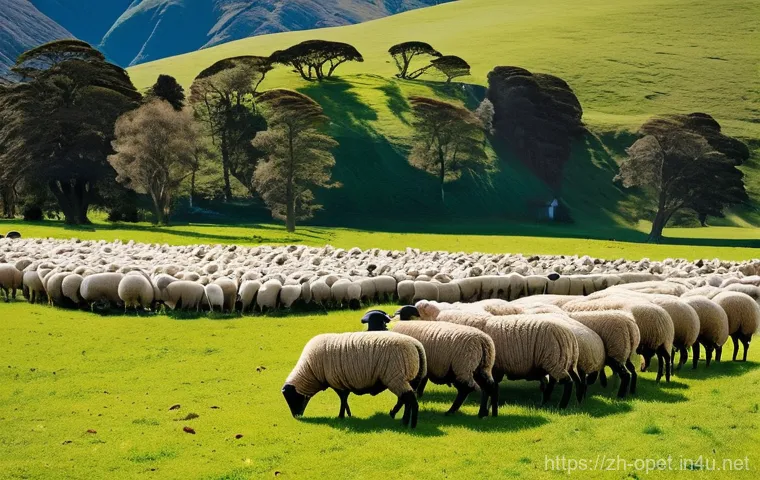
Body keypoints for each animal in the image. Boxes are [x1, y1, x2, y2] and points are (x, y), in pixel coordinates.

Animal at [282, 331, 426, 428]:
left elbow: (342, 398)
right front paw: (347, 414)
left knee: (410, 400)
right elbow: (344, 398)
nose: (296, 416)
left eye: (292, 397)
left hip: (396, 377)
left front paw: (341, 416)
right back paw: (400, 418)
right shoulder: (341, 381)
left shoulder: (336, 382)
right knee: (406, 400)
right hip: (409, 378)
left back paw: (410, 424)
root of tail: (416, 345)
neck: (311, 371)